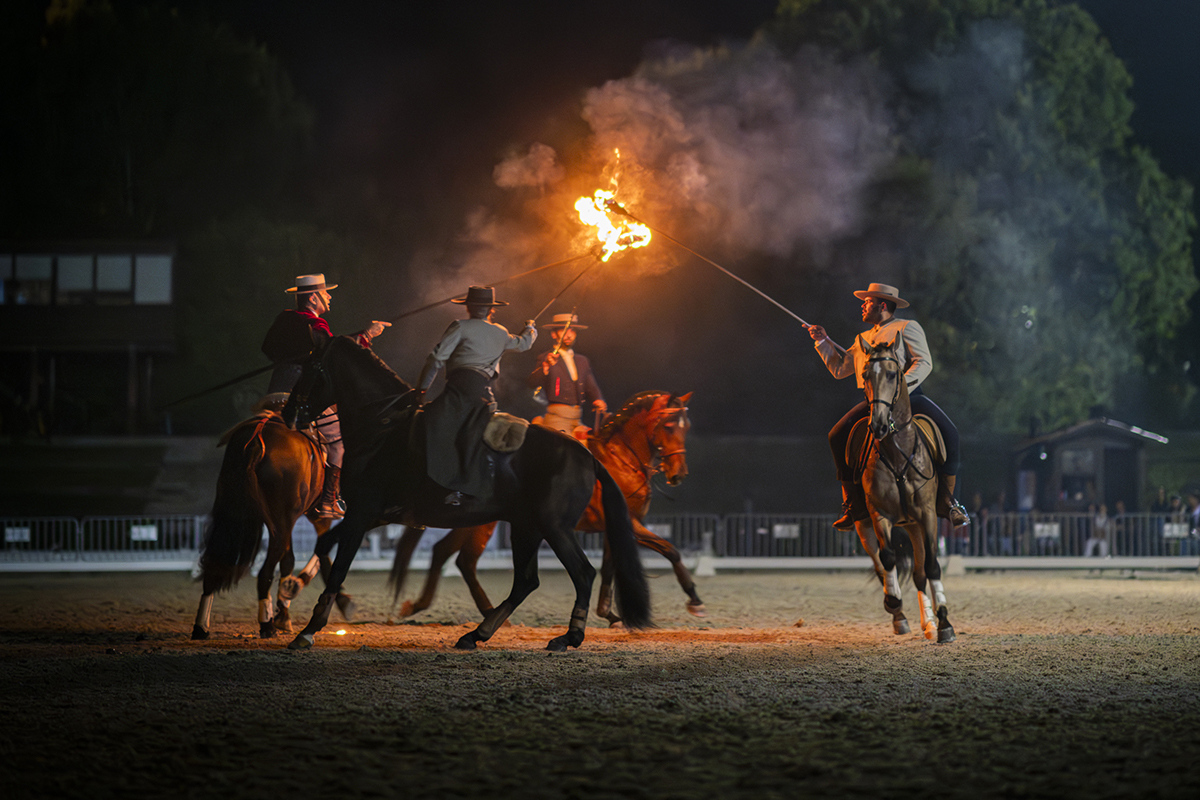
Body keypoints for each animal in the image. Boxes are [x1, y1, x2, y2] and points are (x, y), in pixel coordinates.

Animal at [187, 410, 348, 642]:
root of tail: (258, 436)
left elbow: (293, 560)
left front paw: (285, 608)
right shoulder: (318, 517)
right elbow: (324, 557)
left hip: (243, 517)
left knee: (215, 566)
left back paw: (201, 627)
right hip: (282, 521)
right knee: (265, 572)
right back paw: (267, 624)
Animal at [388, 391, 700, 628]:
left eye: (687, 427)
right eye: (669, 425)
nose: (679, 474)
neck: (620, 459)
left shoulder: (616, 527)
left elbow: (611, 566)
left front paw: (610, 615)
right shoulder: (630, 524)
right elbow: (670, 550)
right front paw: (694, 599)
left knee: (452, 555)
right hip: (479, 522)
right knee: (457, 557)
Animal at [854, 338, 955, 642]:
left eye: (891, 374)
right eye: (865, 375)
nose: (878, 424)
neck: (897, 454)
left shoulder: (928, 515)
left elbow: (932, 565)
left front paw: (944, 624)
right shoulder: (878, 514)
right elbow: (888, 558)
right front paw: (894, 602)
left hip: (914, 524)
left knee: (921, 571)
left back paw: (931, 622)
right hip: (866, 524)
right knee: (880, 565)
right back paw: (900, 614)